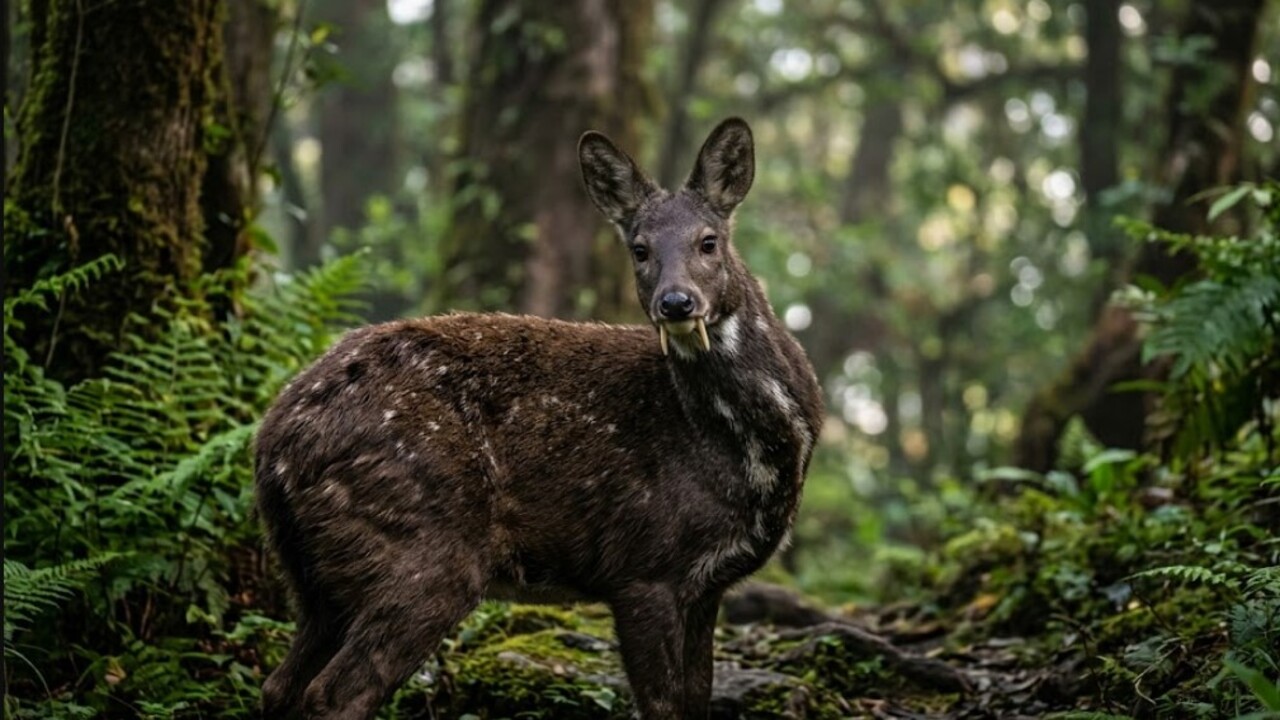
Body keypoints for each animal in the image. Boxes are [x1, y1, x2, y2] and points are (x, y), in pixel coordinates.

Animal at [255, 117, 824, 719]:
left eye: (709, 241)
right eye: (639, 249)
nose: (676, 302)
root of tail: (272, 445)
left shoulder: (707, 585)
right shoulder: (644, 567)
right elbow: (663, 705)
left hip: (313, 578)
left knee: (280, 685)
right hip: (420, 549)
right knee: (334, 693)